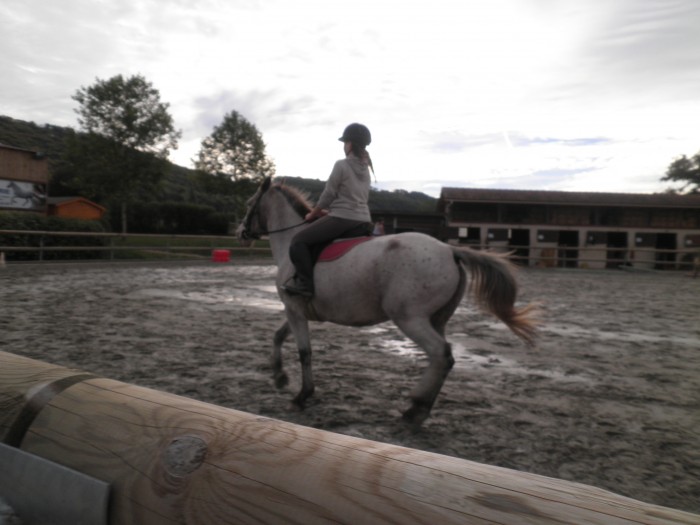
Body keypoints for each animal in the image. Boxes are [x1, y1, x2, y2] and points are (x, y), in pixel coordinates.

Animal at [237, 177, 538, 426]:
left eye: (250, 204)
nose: (240, 233)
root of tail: (449, 250)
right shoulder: (297, 310)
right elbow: (278, 336)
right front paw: (279, 377)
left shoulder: (295, 309)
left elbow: (304, 352)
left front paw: (302, 395)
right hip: (436, 319)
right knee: (444, 359)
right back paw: (420, 407)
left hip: (409, 318)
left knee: (441, 354)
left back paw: (415, 409)